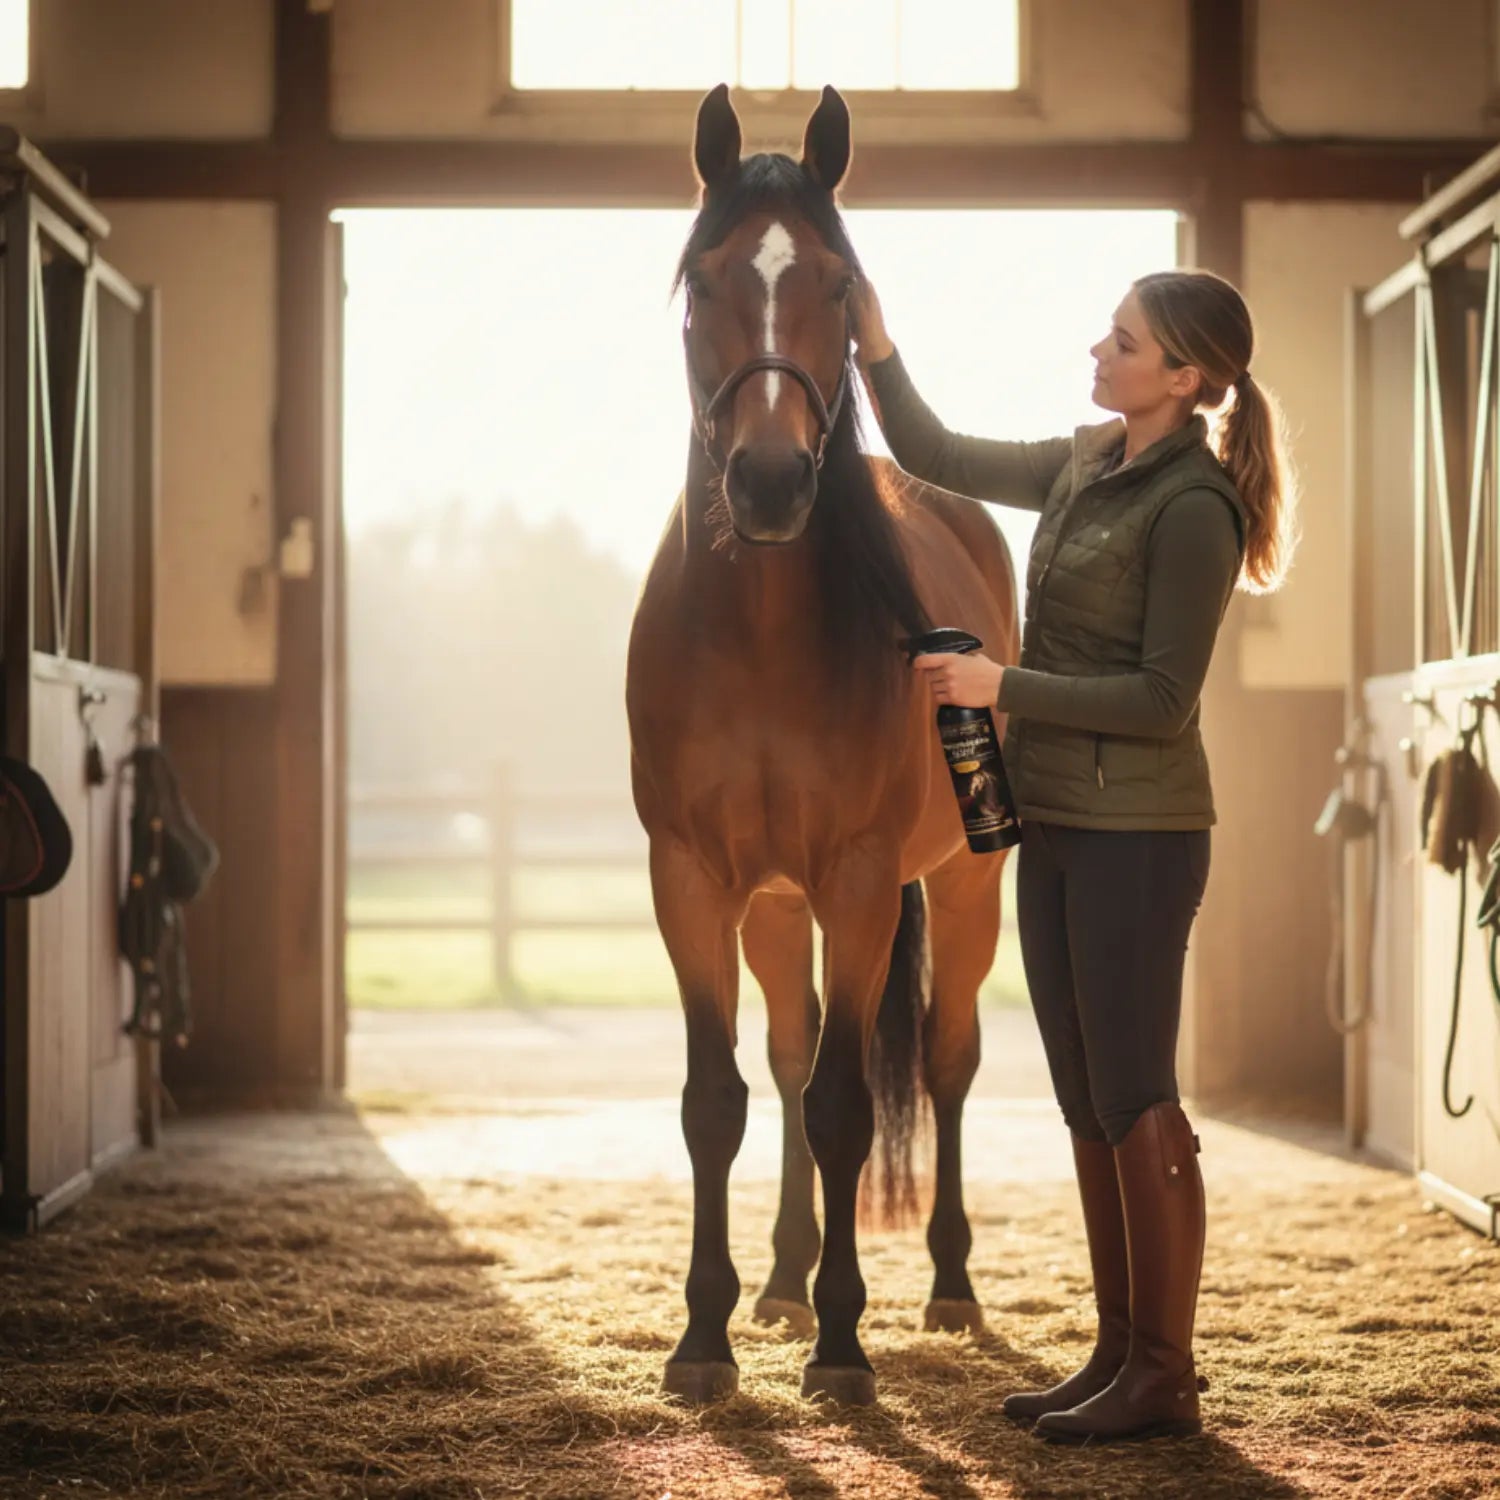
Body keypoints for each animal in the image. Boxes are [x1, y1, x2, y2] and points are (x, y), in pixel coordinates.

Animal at [625, 82, 1021, 1408]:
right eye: (702, 283)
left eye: (839, 285)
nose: (767, 480)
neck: (756, 641)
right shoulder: (695, 880)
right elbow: (719, 1100)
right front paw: (704, 1338)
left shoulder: (857, 881)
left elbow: (848, 1103)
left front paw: (846, 1349)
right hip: (775, 903)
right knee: (791, 1057)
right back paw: (786, 1281)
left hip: (962, 889)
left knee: (945, 1061)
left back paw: (945, 1286)